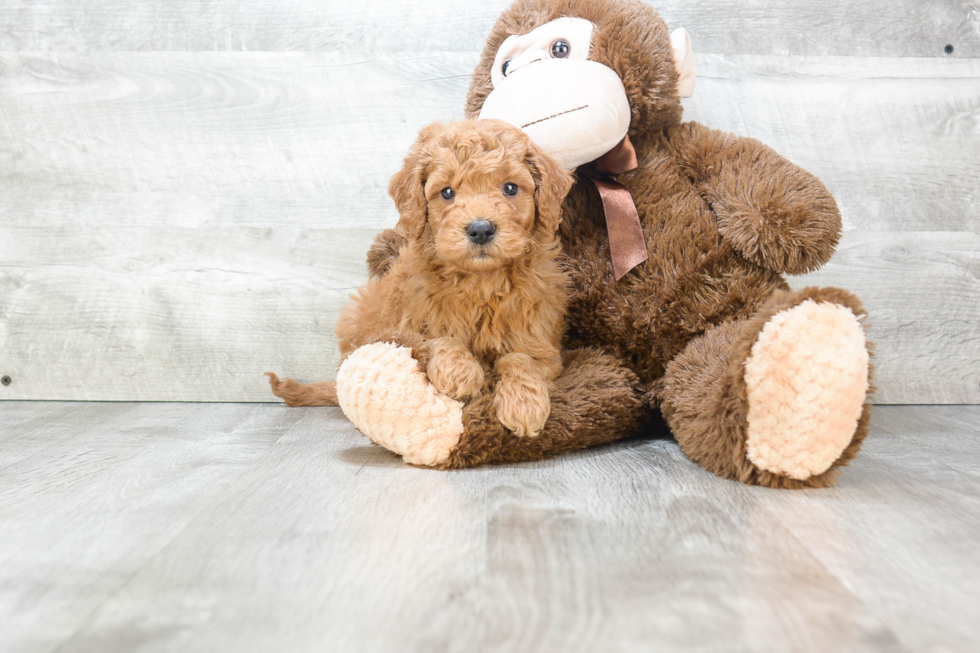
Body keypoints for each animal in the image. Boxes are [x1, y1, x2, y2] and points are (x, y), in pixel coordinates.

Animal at [268, 120, 576, 440]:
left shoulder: (538, 339)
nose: (480, 229)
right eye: (447, 192)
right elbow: (432, 340)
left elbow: (521, 359)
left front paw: (524, 404)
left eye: (510, 188)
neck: (480, 283)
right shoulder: (406, 323)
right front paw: (460, 371)